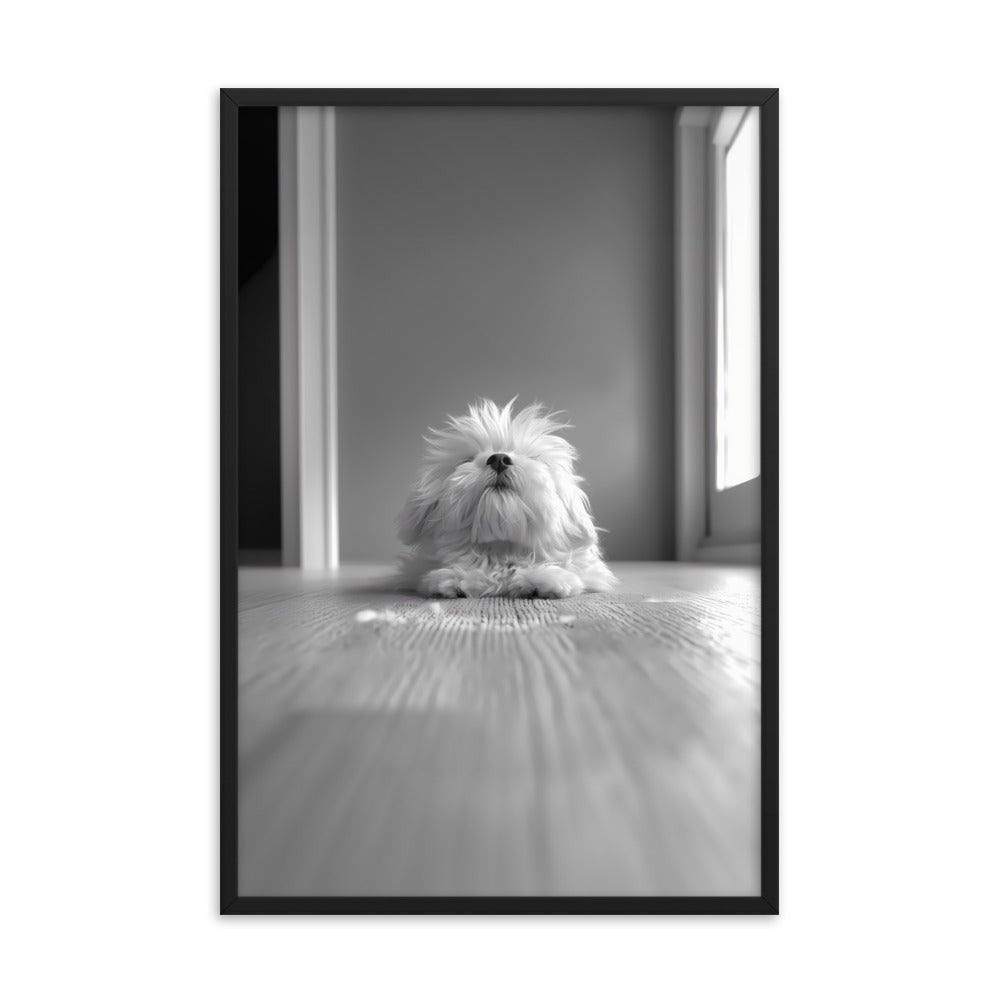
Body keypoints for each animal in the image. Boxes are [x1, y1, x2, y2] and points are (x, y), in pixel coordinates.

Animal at [396, 400, 616, 600]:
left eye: (534, 458)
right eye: (467, 459)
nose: (499, 459)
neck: (502, 550)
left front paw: (544, 578)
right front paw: (457, 578)